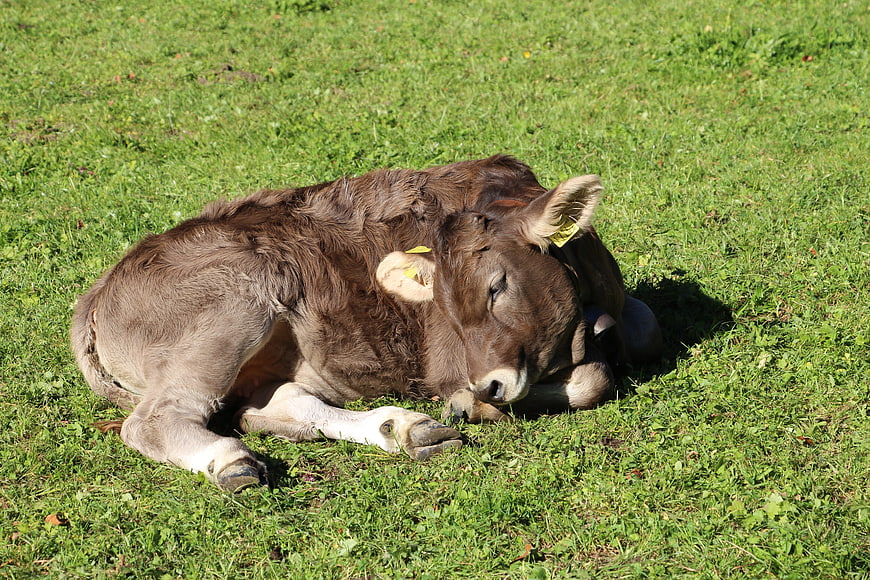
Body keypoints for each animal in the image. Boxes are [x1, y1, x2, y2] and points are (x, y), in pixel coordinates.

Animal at [70, 156, 661, 492]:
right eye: (445, 306)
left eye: (497, 286)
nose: (487, 387)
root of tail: (96, 294)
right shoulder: (450, 361)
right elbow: (593, 379)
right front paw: (469, 406)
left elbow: (645, 326)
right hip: (235, 303)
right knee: (153, 421)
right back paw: (230, 462)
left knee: (284, 404)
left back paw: (402, 429)